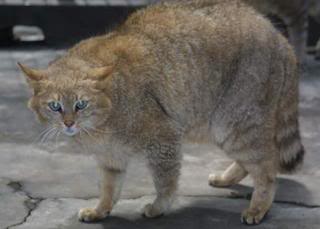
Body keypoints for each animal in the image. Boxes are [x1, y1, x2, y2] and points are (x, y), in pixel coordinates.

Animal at [18, 0, 304, 225]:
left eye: (81, 104)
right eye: (55, 106)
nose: (68, 123)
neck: (100, 122)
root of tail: (279, 38)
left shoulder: (163, 137)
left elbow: (165, 179)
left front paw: (159, 206)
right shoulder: (110, 156)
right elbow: (110, 188)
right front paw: (101, 210)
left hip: (235, 123)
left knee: (268, 167)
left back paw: (258, 207)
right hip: (222, 128)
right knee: (252, 162)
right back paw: (227, 178)